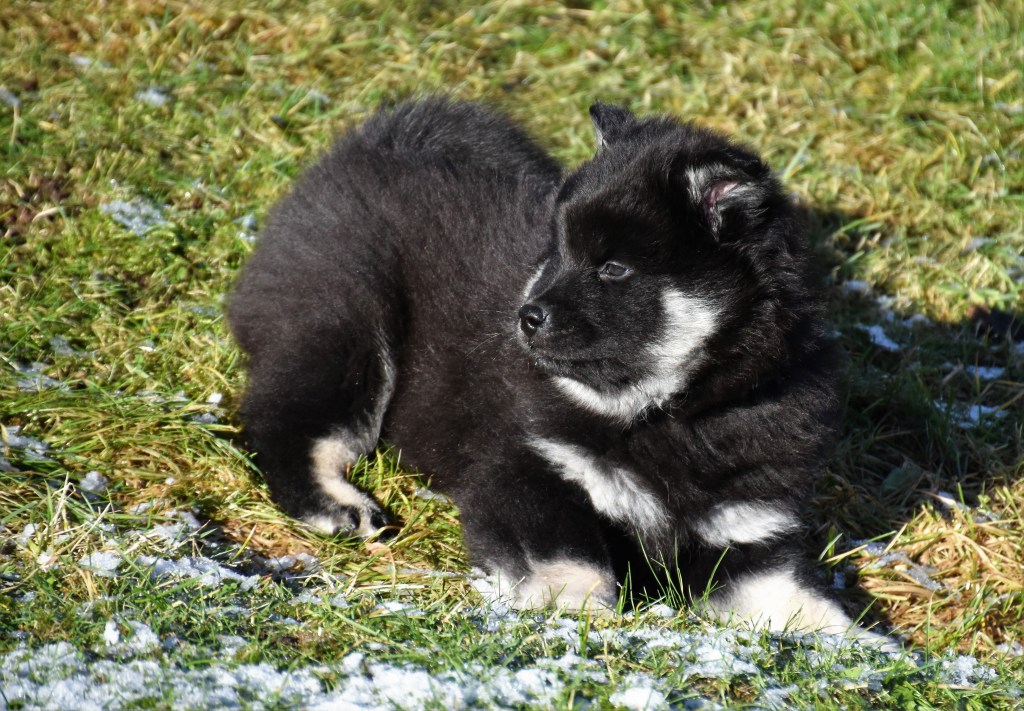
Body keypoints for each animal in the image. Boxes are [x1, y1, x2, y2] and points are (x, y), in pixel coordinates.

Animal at [228, 97, 874, 640]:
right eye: (558, 251)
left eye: (613, 269)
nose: (526, 316)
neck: (671, 412)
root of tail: (378, 143)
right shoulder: (529, 469)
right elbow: (575, 563)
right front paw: (571, 612)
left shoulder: (746, 529)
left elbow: (801, 601)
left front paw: (864, 648)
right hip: (348, 323)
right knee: (293, 424)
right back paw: (336, 505)